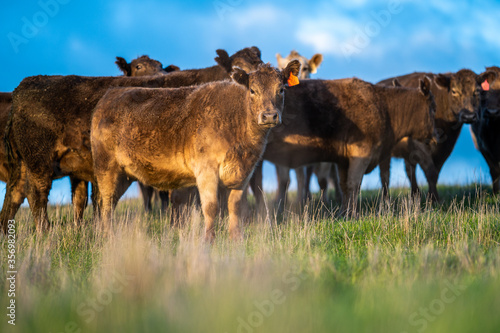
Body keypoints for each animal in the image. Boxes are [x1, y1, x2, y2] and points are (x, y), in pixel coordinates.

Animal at [0, 46, 266, 232]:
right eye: (237, 70)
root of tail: (25, 85)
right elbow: (179, 202)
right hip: (39, 160)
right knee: (37, 196)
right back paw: (45, 234)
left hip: (25, 164)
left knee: (14, 196)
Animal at [91, 61, 300, 240]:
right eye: (252, 90)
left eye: (281, 89)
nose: (269, 116)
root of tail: (110, 94)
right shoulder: (206, 170)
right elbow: (211, 207)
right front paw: (208, 241)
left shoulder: (243, 174)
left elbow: (235, 208)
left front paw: (236, 241)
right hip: (106, 168)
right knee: (105, 204)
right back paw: (107, 238)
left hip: (123, 175)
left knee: (109, 203)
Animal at [252, 76, 436, 214]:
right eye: (433, 108)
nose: (437, 135)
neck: (384, 107)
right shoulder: (361, 154)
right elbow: (354, 184)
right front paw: (353, 215)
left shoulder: (343, 160)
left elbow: (344, 186)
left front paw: (344, 212)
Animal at [378, 69, 496, 200]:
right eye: (454, 91)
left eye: (477, 91)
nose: (469, 116)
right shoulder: (419, 144)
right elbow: (430, 171)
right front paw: (434, 199)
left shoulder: (447, 146)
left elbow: (436, 171)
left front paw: (432, 198)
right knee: (385, 174)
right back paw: (386, 198)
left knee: (409, 170)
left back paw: (415, 195)